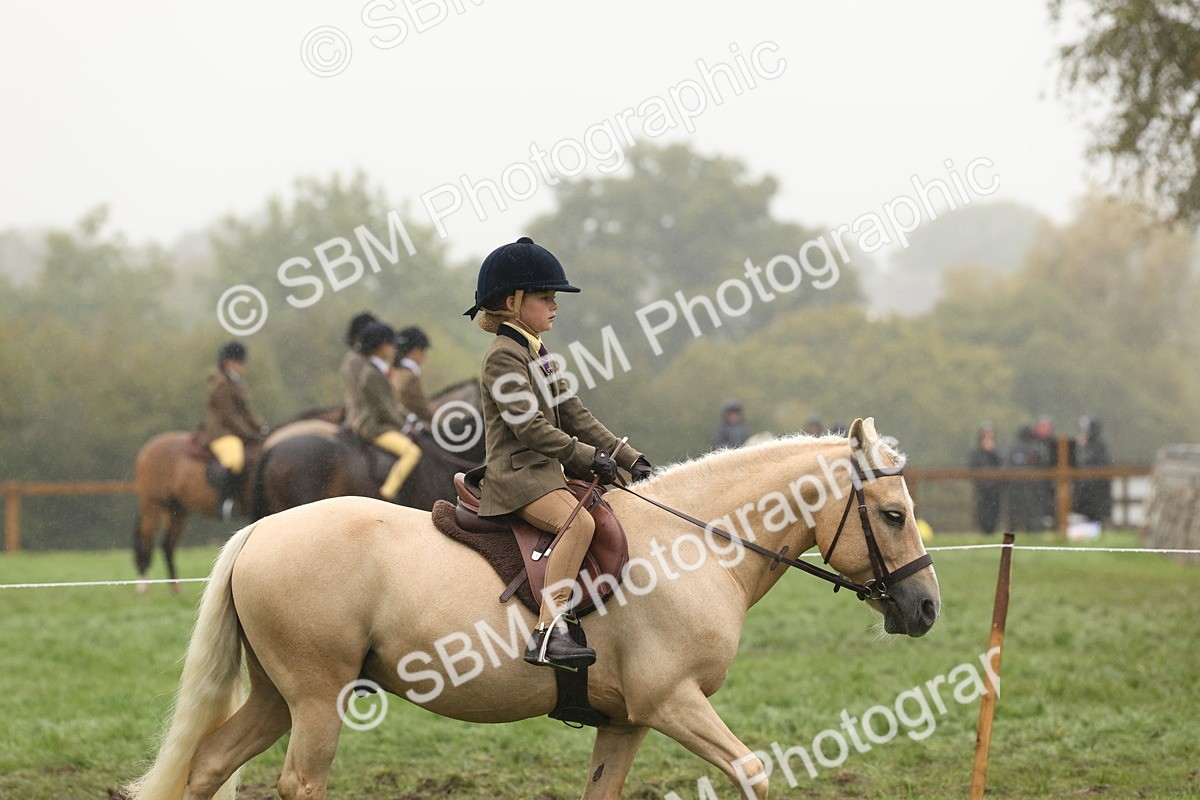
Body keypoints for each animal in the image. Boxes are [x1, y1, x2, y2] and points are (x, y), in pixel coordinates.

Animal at [125, 418, 939, 800]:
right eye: (894, 515)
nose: (926, 608)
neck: (693, 544)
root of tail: (260, 529)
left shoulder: (626, 720)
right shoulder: (672, 701)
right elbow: (753, 771)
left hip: (277, 696)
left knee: (207, 765)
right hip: (318, 700)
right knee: (298, 782)